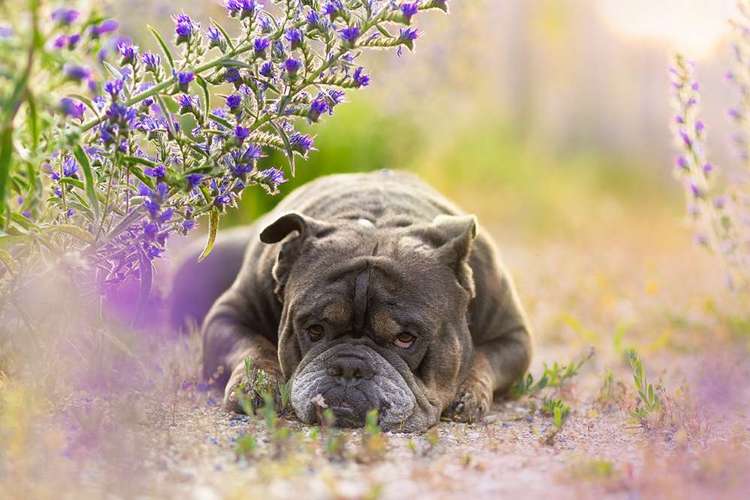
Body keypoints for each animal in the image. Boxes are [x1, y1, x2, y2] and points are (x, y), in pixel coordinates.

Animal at [170, 170, 536, 432]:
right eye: (314, 330)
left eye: (406, 339)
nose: (349, 367)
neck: (379, 221)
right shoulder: (228, 316)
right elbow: (252, 348)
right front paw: (256, 384)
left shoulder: (514, 336)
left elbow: (484, 360)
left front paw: (468, 393)